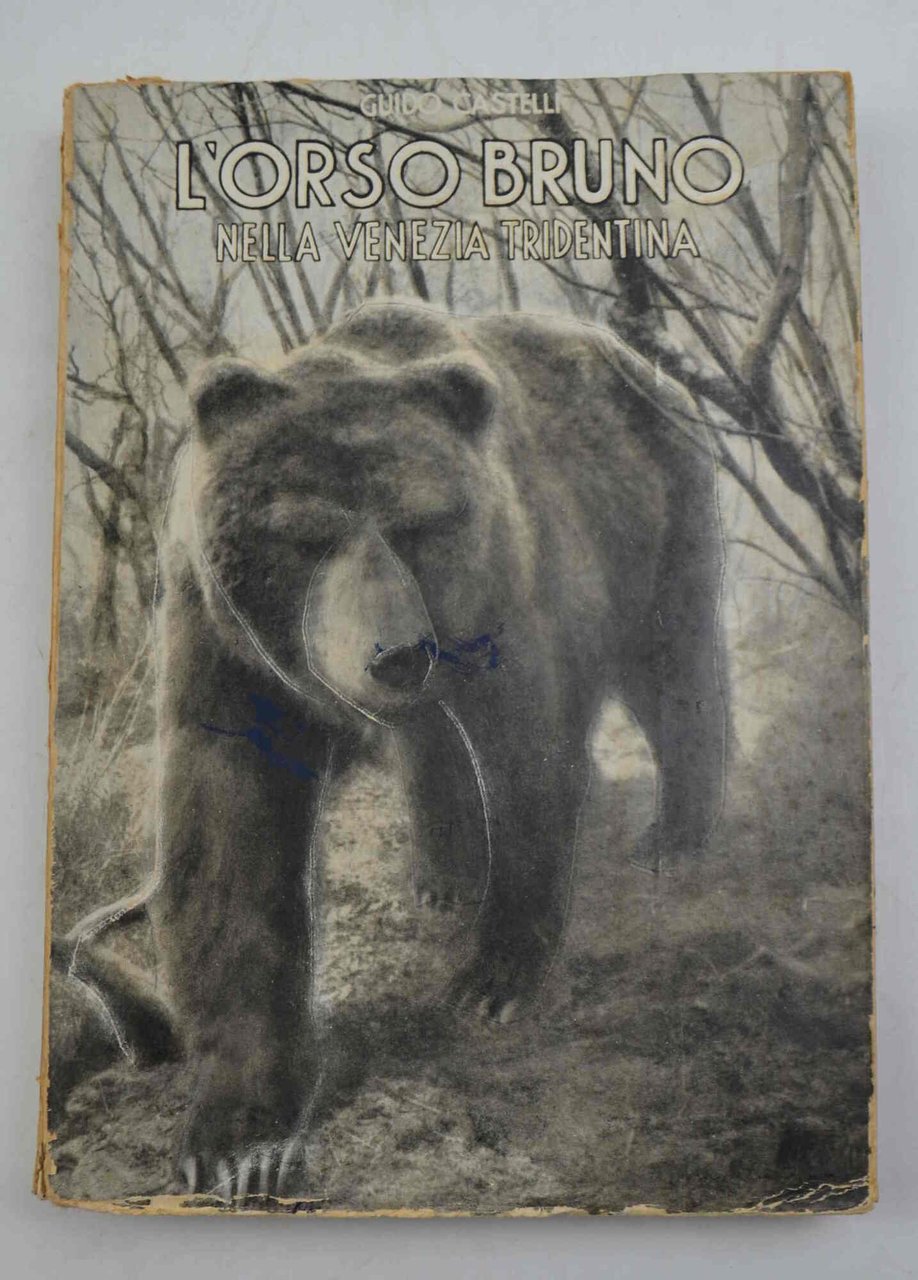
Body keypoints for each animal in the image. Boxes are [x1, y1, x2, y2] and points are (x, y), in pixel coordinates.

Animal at [147, 301, 727, 1199]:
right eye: (308, 534)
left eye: (416, 526)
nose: (395, 653)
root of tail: (644, 366)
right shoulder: (224, 645)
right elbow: (226, 837)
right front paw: (238, 1137)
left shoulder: (503, 589)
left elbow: (528, 759)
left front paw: (491, 981)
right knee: (433, 749)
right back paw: (443, 877)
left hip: (657, 515)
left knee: (673, 666)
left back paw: (678, 831)